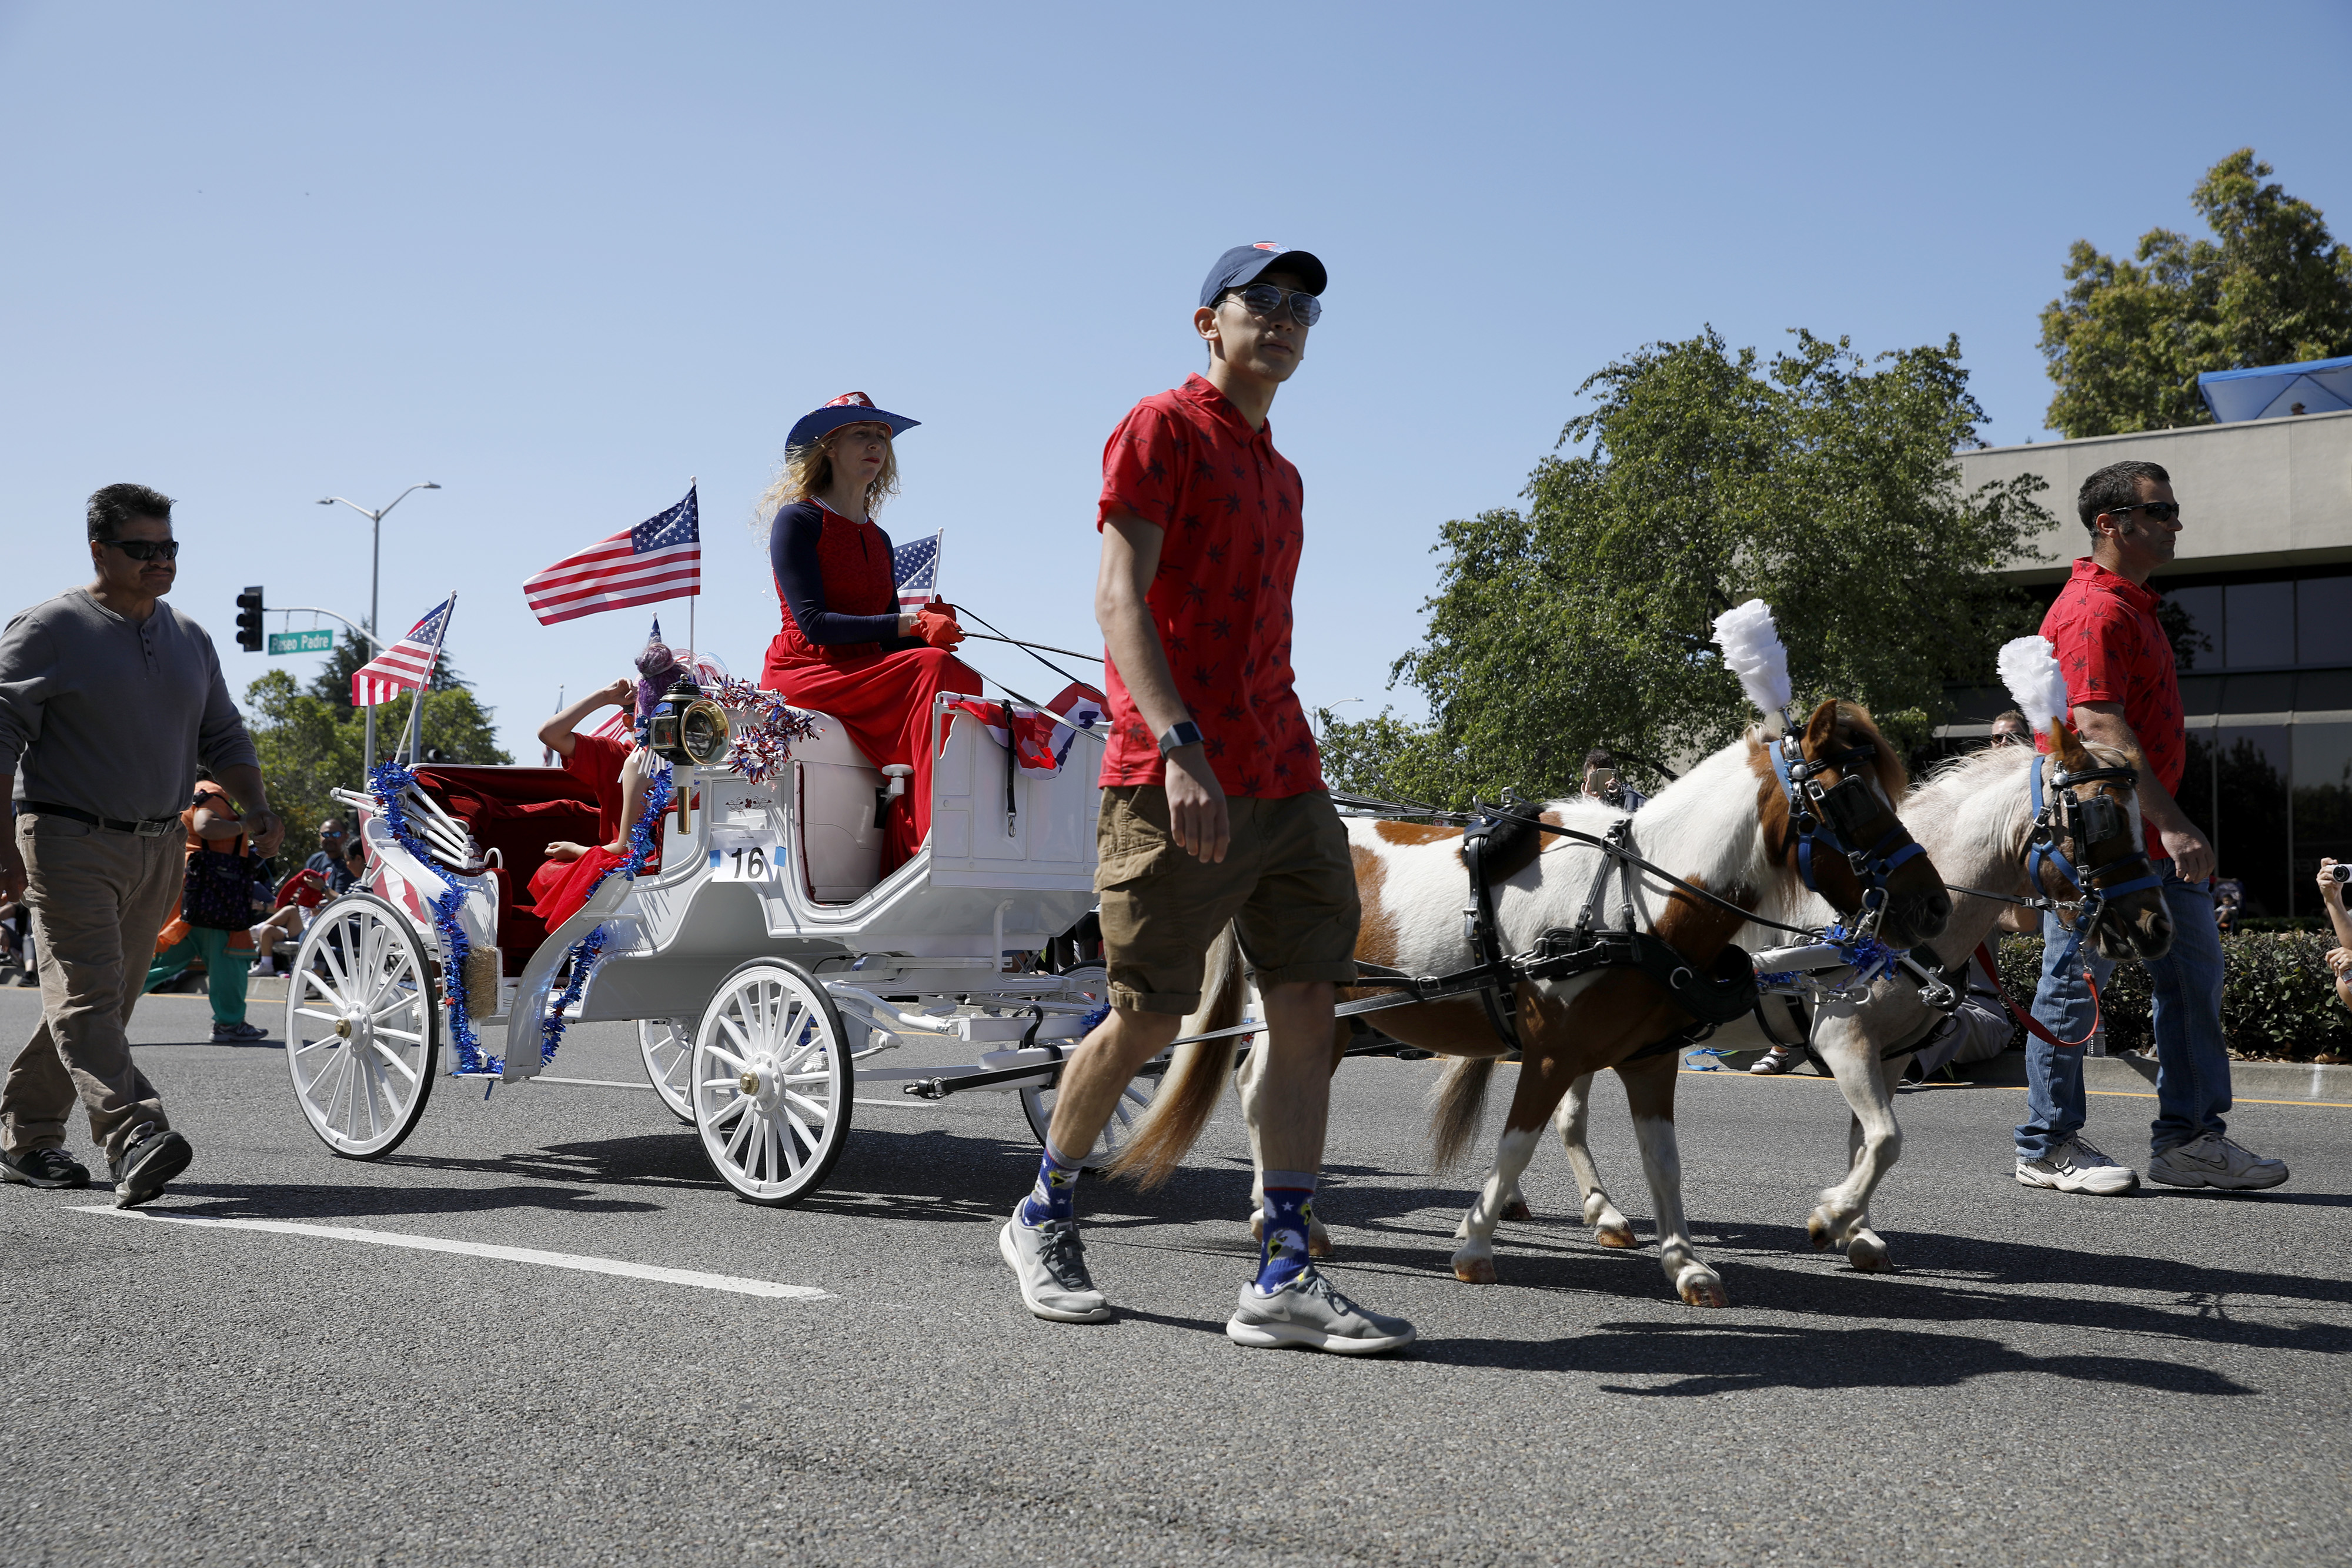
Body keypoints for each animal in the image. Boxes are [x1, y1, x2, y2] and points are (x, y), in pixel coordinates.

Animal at [1110, 705, 1957, 1307]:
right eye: (1850, 795)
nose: (1932, 904)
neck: (1632, 901)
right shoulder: (1551, 1053)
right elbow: (1516, 1143)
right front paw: (1473, 1245)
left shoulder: (1651, 1060)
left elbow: (1665, 1163)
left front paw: (1685, 1263)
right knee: (1264, 1094)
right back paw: (1292, 1222)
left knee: (1265, 1093)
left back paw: (1286, 1219)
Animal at [1552, 719, 2173, 1279]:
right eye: (2100, 815)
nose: (2157, 926)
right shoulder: (1842, 1038)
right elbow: (1887, 1139)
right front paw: (1831, 1216)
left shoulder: (1892, 1055)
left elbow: (1865, 1142)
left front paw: (1860, 1233)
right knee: (1569, 1117)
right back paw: (1602, 1213)